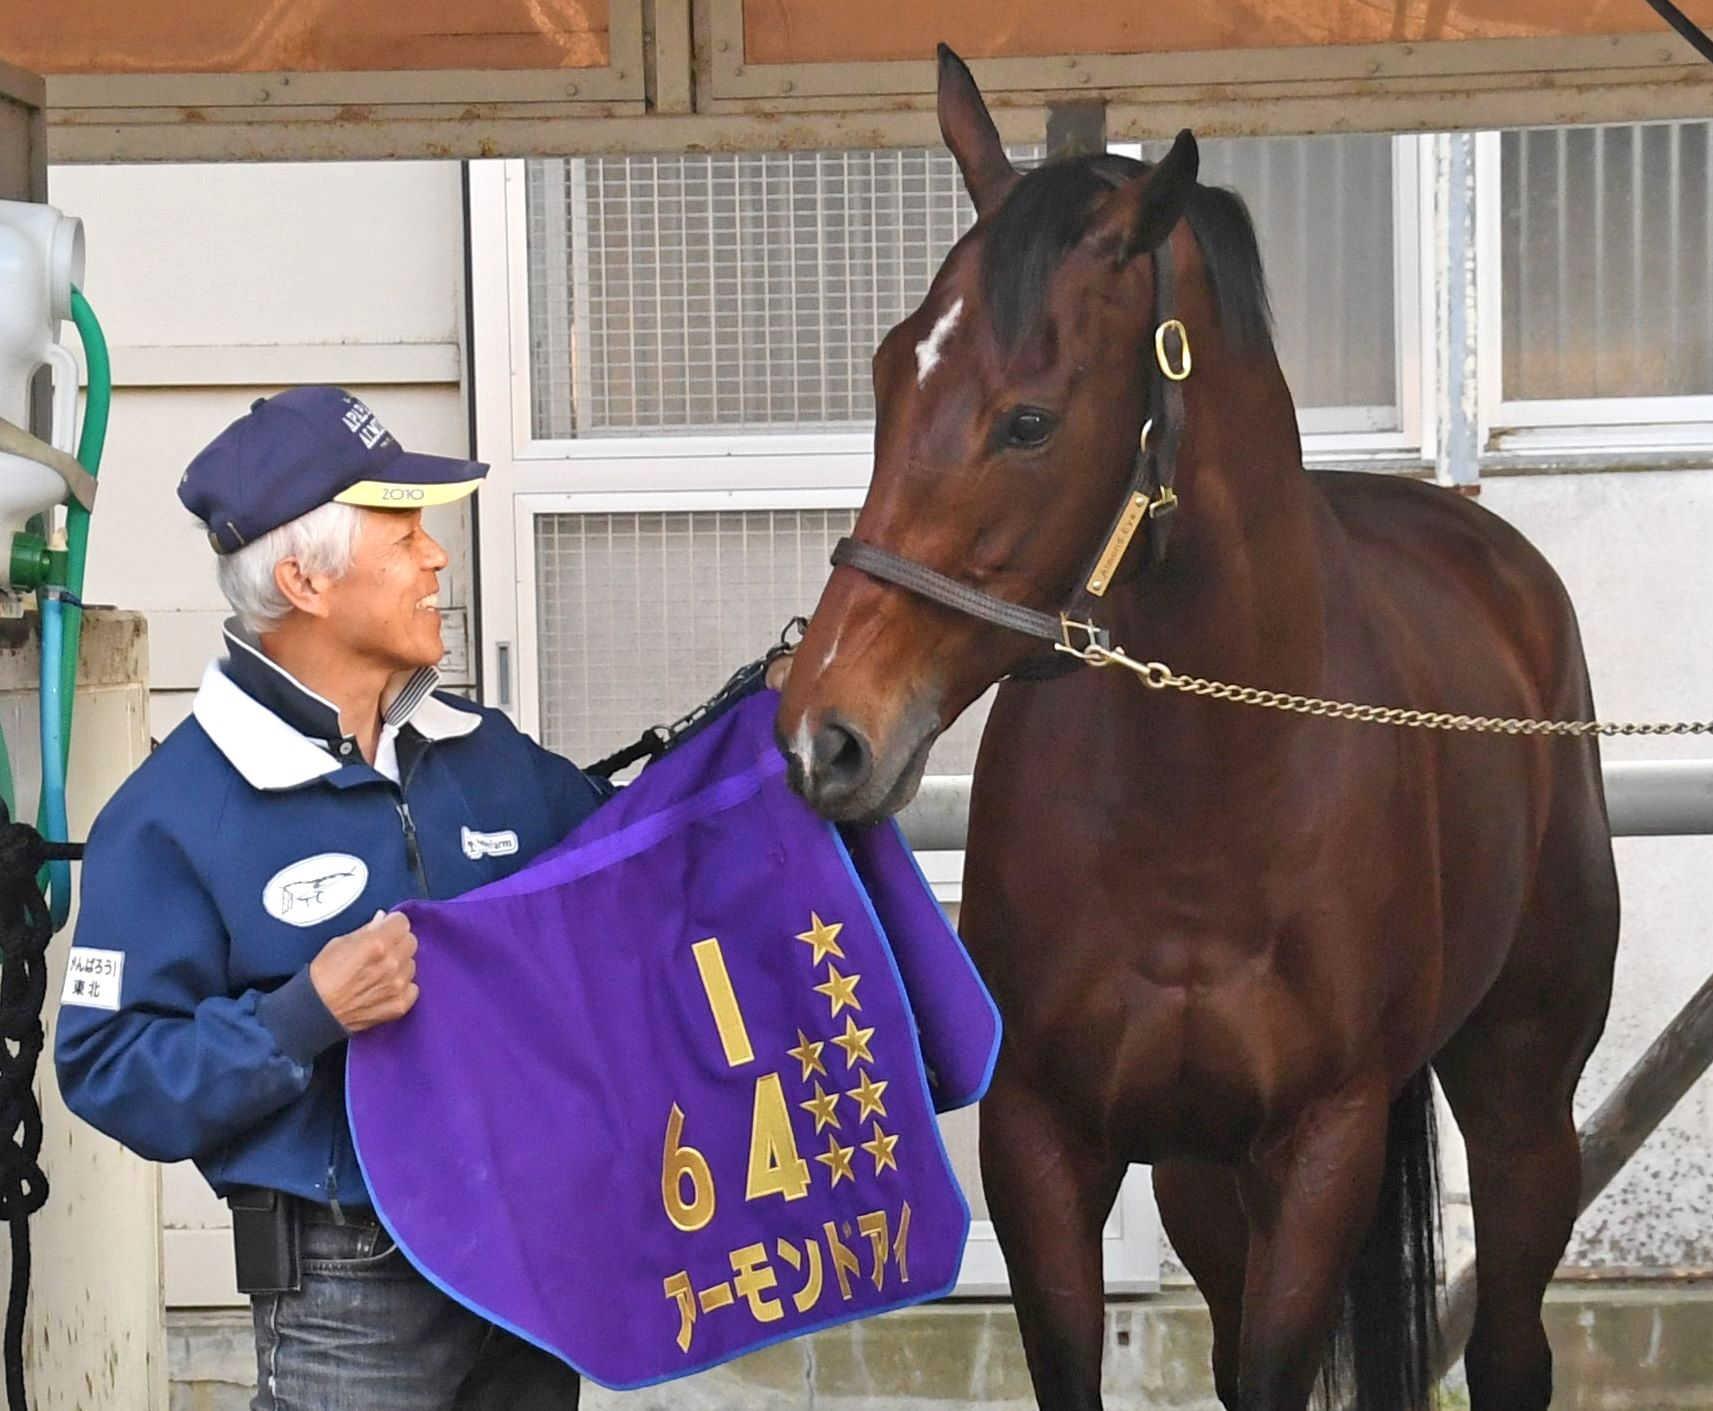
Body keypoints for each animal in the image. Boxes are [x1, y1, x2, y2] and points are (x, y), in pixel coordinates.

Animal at [777, 44, 1617, 1411]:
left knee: (1511, 1346)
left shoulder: (1320, 1146)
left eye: (1029, 419)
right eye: (891, 371)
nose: (826, 733)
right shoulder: (1044, 1138)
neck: (1210, 803)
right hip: (1200, 1176)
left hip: (1522, 1098)